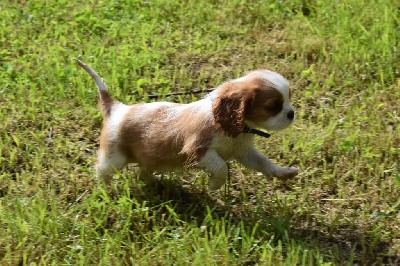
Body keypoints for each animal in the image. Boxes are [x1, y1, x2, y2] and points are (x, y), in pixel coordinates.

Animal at [76, 59, 298, 189]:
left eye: (289, 98)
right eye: (273, 107)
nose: (291, 113)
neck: (237, 128)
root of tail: (116, 108)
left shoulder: (244, 151)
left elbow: (263, 163)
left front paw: (284, 173)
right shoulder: (198, 150)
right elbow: (221, 167)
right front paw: (214, 185)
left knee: (142, 170)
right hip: (113, 157)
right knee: (102, 171)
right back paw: (106, 190)